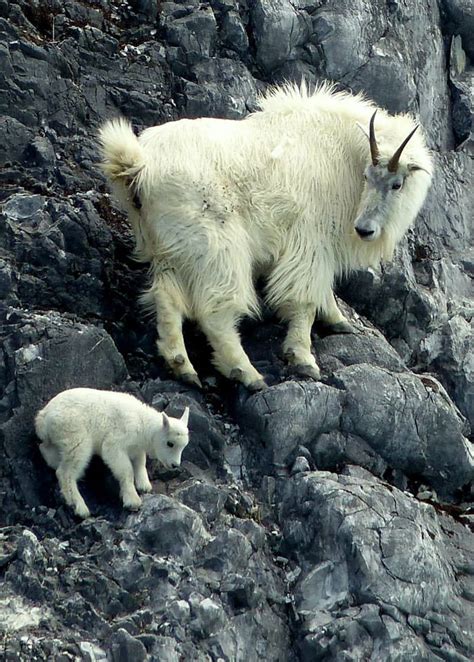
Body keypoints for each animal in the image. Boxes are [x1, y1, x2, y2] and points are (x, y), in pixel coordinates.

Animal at [35, 390, 189, 520]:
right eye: (170, 443)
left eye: (184, 446)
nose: (175, 465)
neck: (143, 425)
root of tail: (43, 418)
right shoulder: (115, 443)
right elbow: (125, 469)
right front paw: (132, 500)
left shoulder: (136, 448)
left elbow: (140, 462)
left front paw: (144, 485)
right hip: (76, 436)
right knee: (65, 472)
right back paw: (79, 506)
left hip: (59, 438)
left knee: (46, 450)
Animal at [100, 84, 434, 394]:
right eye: (368, 176)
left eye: (397, 183)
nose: (365, 229)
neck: (343, 155)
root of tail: (139, 166)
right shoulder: (310, 239)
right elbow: (304, 299)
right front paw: (303, 358)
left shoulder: (319, 246)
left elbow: (322, 288)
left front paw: (339, 320)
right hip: (218, 247)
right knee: (215, 312)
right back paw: (246, 373)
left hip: (170, 249)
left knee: (166, 298)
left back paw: (182, 367)